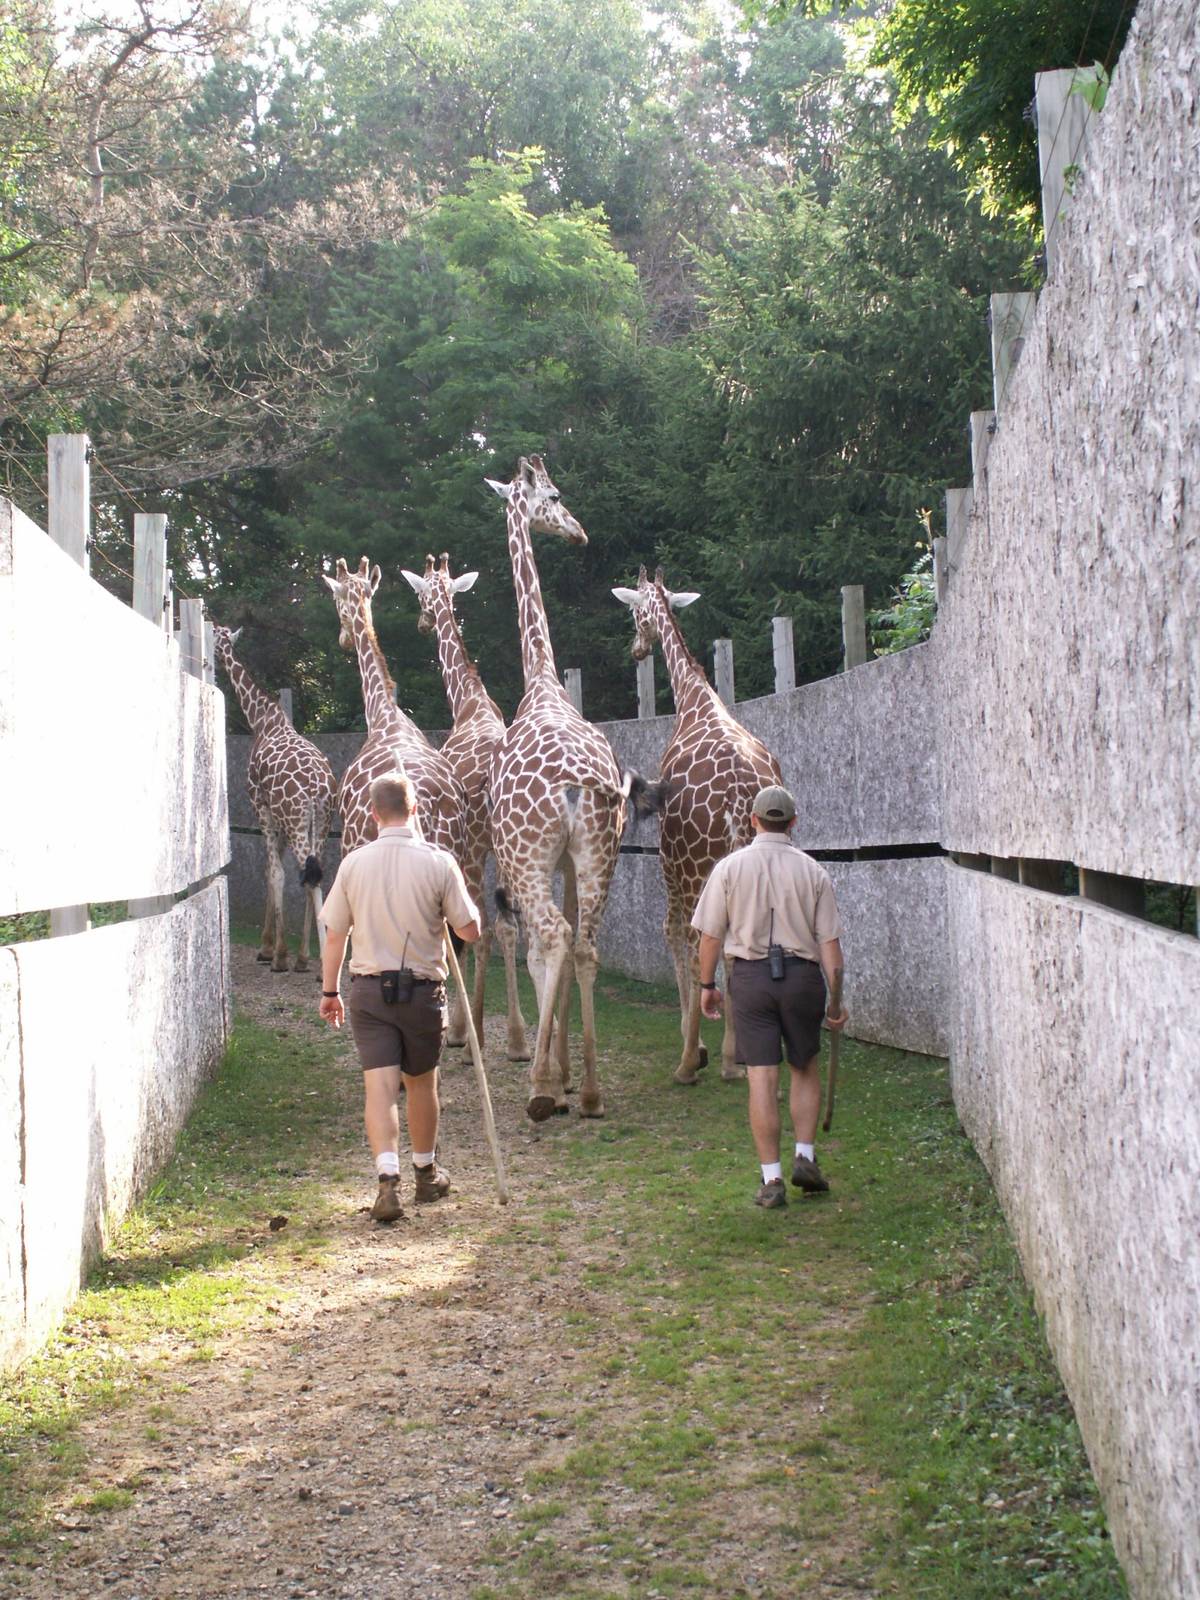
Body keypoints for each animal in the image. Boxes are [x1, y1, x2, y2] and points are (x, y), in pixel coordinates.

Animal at [212, 624, 337, 973]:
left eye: (216, 635)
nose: (215, 654)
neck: (263, 720)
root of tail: (317, 787)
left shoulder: (261, 807)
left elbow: (274, 873)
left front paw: (277, 953)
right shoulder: (278, 820)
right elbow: (274, 872)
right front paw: (271, 949)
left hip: (297, 823)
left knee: (308, 877)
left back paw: (315, 960)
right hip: (320, 824)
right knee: (316, 874)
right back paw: (308, 957)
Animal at [400, 552, 529, 1061]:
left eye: (419, 593)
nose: (421, 621)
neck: (469, 703)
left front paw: (459, 1028)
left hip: (476, 846)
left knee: (485, 925)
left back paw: (477, 1032)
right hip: (511, 847)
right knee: (516, 925)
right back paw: (523, 1041)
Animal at [612, 567, 783, 1084]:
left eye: (634, 611)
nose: (636, 648)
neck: (694, 697)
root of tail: (736, 799)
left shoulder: (670, 859)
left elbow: (673, 932)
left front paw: (698, 1048)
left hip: (691, 863)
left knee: (692, 935)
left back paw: (692, 1061)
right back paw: (734, 1057)